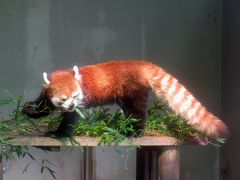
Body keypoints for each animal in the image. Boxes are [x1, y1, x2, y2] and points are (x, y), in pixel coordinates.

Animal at [22, 60, 229, 139]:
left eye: (75, 96)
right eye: (64, 99)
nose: (71, 105)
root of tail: (139, 64)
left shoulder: (81, 101)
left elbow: (72, 118)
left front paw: (59, 133)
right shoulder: (47, 95)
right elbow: (44, 106)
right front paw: (28, 110)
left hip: (133, 90)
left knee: (138, 112)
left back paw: (134, 132)